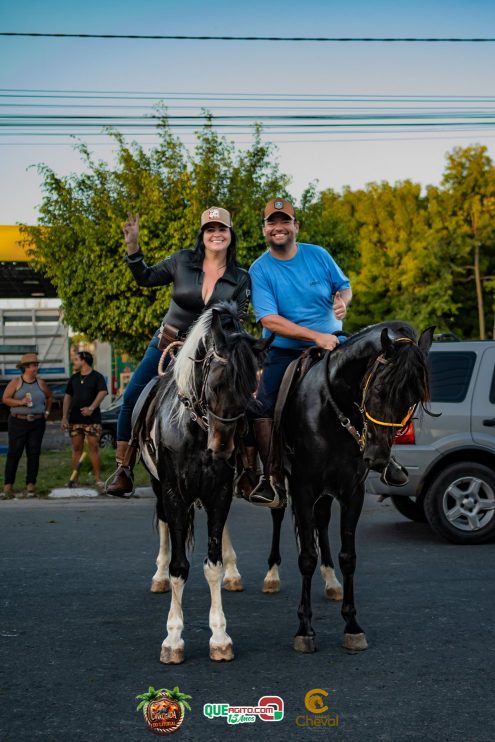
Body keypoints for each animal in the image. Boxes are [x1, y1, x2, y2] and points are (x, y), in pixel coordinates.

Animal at [136, 302, 270, 668]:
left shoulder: (219, 493)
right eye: (216, 384)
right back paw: (158, 577)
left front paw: (220, 637)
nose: (222, 448)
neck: (195, 430)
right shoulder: (174, 494)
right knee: (164, 525)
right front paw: (173, 638)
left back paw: (233, 573)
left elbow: (213, 565)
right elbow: (180, 566)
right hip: (159, 489)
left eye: (251, 389)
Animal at [280, 322, 436, 652]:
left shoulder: (352, 492)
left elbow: (348, 557)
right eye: (379, 390)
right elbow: (306, 557)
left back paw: (331, 582)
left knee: (321, 522)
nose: (377, 456)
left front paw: (352, 625)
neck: (330, 411)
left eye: (413, 399)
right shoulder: (302, 488)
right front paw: (304, 628)